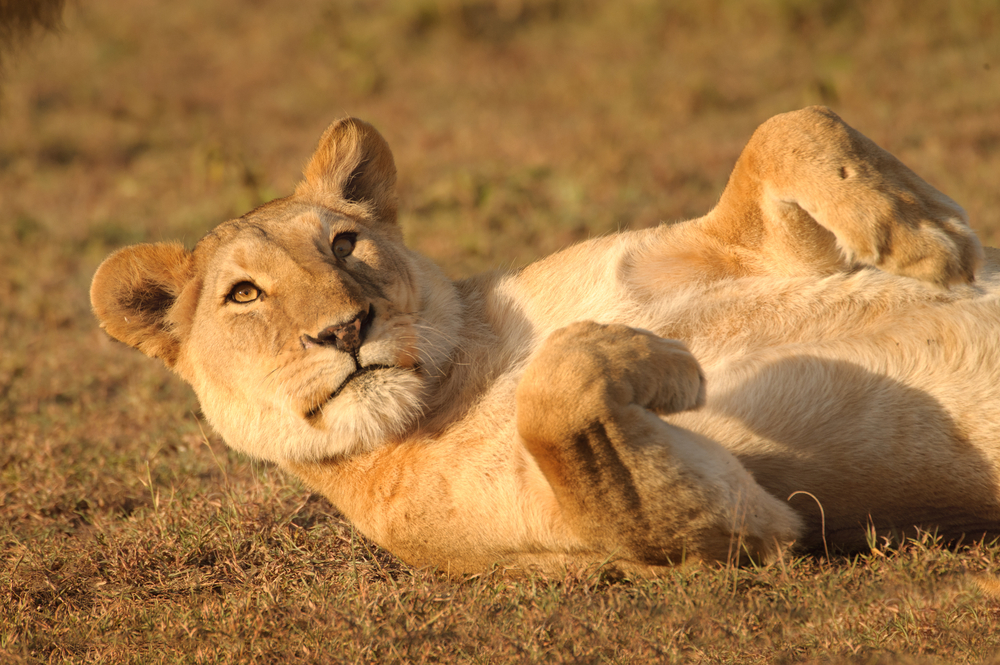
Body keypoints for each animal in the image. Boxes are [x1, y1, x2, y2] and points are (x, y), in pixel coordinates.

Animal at [90, 107, 1000, 576]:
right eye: (244, 293)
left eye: (344, 243)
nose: (347, 328)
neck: (466, 366)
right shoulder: (718, 532)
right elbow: (557, 395)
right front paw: (665, 362)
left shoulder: (726, 249)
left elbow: (791, 126)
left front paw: (931, 239)